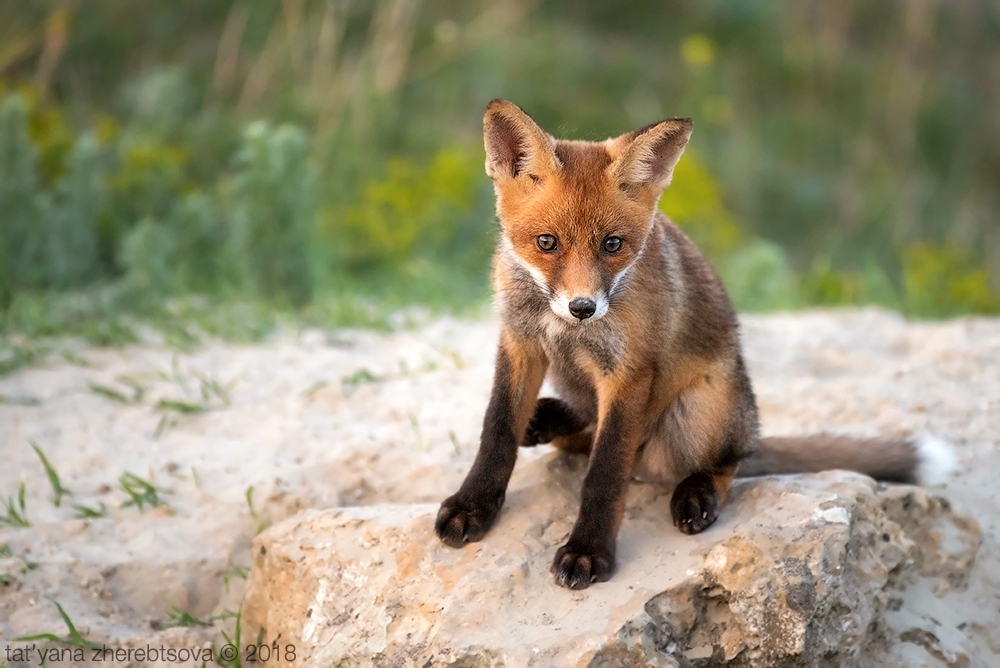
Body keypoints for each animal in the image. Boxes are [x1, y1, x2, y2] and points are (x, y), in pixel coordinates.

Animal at [434, 99, 956, 588]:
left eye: (612, 245)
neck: (564, 328)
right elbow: (498, 430)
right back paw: (548, 419)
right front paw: (473, 506)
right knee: (579, 431)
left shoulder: (628, 373)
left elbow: (605, 473)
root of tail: (749, 427)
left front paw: (588, 551)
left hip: (698, 413)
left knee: (725, 463)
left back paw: (698, 492)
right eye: (547, 243)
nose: (583, 307)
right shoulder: (519, 342)